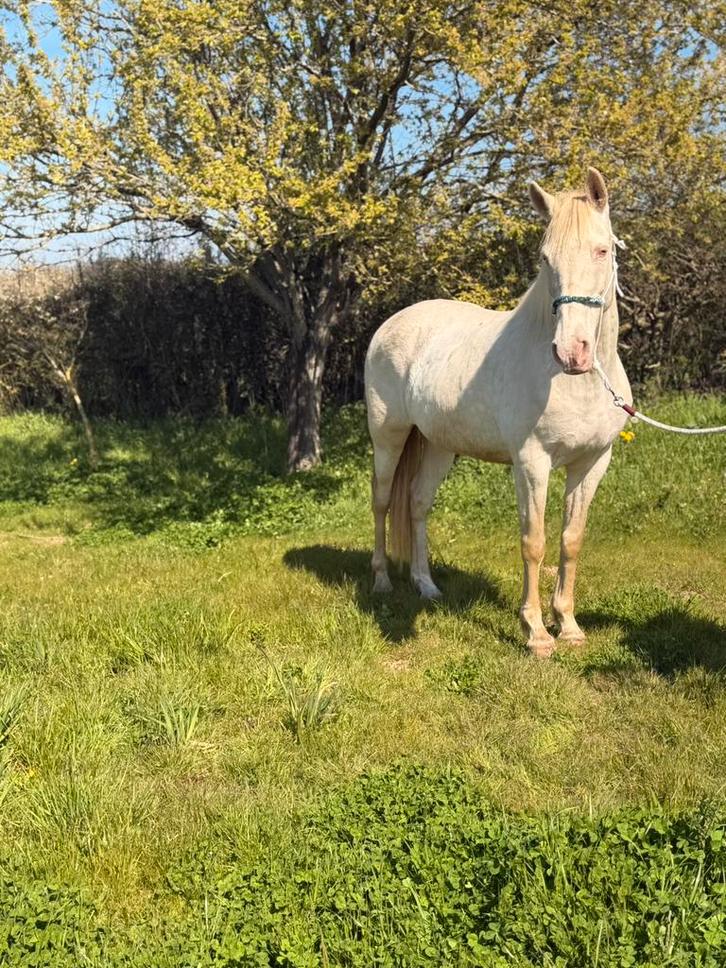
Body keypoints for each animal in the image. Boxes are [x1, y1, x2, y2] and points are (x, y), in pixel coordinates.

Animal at [364, 167, 632, 657]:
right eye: (545, 259)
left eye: (602, 250)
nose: (573, 352)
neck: (575, 382)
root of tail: (393, 323)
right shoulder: (531, 463)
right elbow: (534, 542)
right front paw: (537, 633)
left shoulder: (592, 463)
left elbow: (571, 540)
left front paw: (568, 626)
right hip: (388, 437)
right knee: (382, 501)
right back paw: (382, 582)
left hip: (437, 445)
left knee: (416, 505)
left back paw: (426, 586)